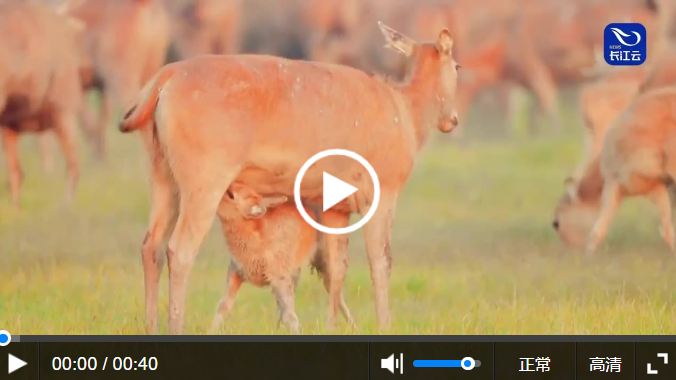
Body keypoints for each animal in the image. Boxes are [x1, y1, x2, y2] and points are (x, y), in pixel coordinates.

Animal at [210, 183, 356, 334]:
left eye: (233, 193)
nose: (230, 183)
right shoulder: (236, 273)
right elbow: (223, 307)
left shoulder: (280, 279)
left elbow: (290, 315)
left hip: (328, 265)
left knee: (336, 293)